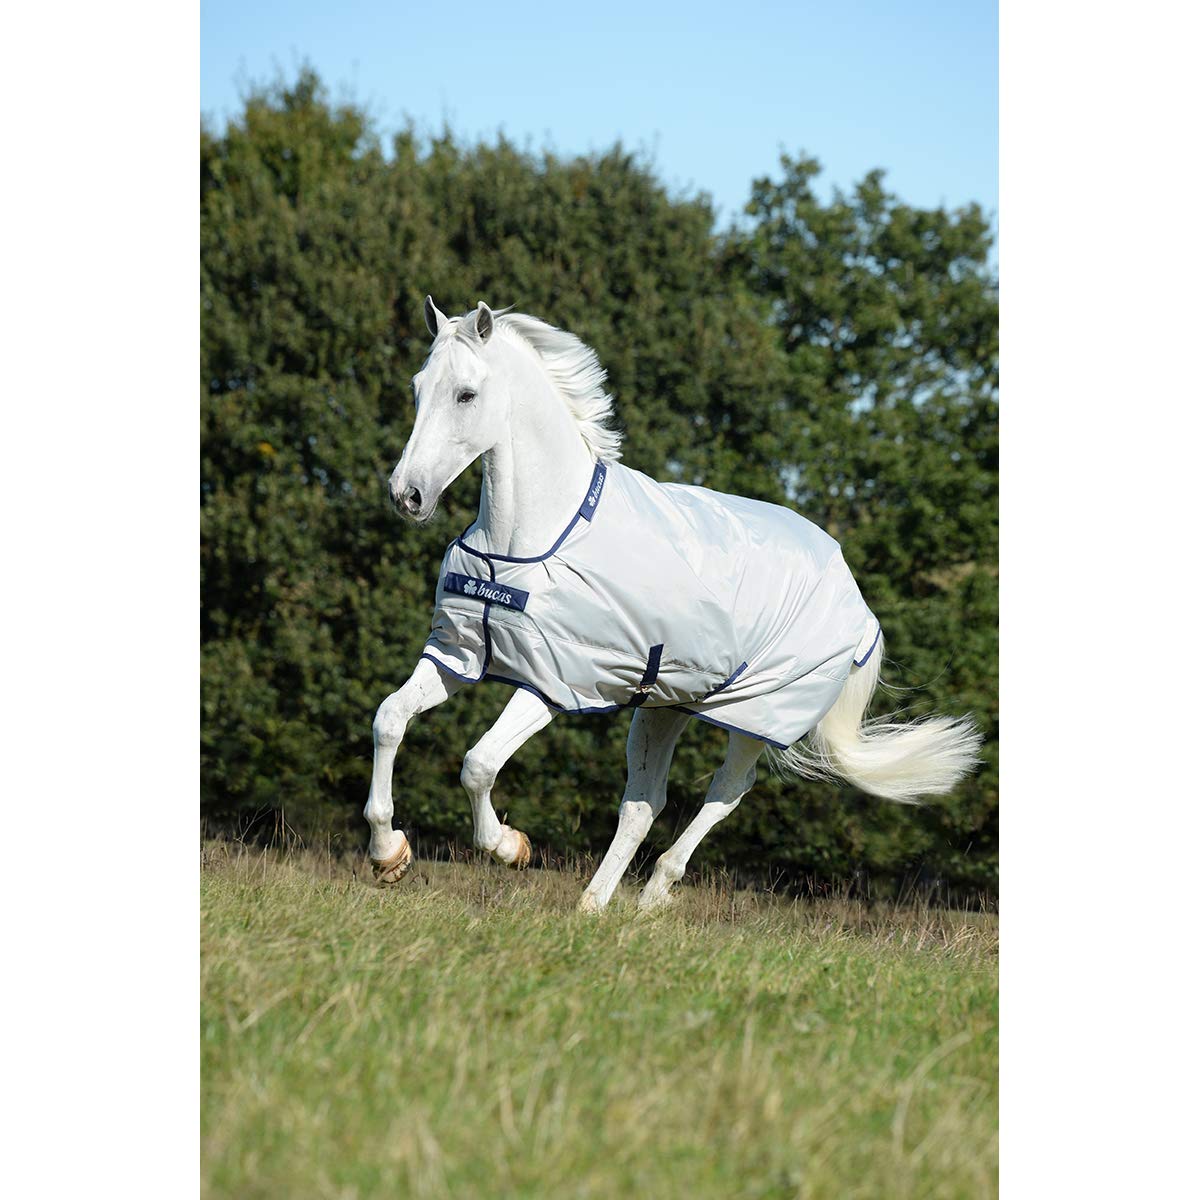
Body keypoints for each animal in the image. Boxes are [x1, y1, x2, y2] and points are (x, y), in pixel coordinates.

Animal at [365, 298, 982, 912]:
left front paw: (510, 847)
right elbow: (389, 719)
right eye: (418, 387)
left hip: (754, 715)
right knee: (643, 804)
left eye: (466, 394)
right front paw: (389, 855)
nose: (406, 495)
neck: (528, 541)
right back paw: (594, 907)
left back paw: (654, 894)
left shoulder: (554, 683)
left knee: (727, 792)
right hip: (662, 706)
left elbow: (478, 764)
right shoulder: (458, 655)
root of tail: (857, 602)